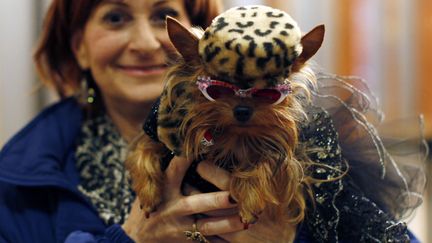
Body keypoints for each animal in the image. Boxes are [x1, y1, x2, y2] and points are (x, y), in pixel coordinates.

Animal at [126, 5, 326, 226]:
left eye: (268, 90)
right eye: (218, 86)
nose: (242, 110)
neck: (232, 136)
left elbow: (265, 161)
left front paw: (250, 198)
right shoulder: (156, 134)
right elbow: (144, 149)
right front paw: (148, 193)